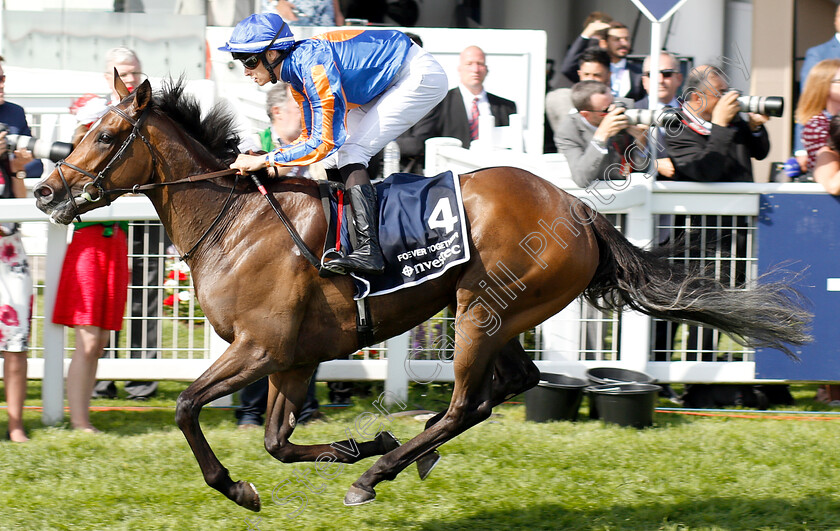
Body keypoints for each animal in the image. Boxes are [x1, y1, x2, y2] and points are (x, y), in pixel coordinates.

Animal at [31, 78, 808, 512]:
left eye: (106, 133)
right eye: (82, 127)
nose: (44, 189)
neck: (235, 219)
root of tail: (578, 209)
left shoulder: (261, 348)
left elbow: (189, 408)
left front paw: (241, 487)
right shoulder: (292, 358)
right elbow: (279, 441)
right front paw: (358, 440)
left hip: (484, 308)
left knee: (470, 401)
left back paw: (382, 470)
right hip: (502, 314)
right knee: (506, 387)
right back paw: (401, 450)